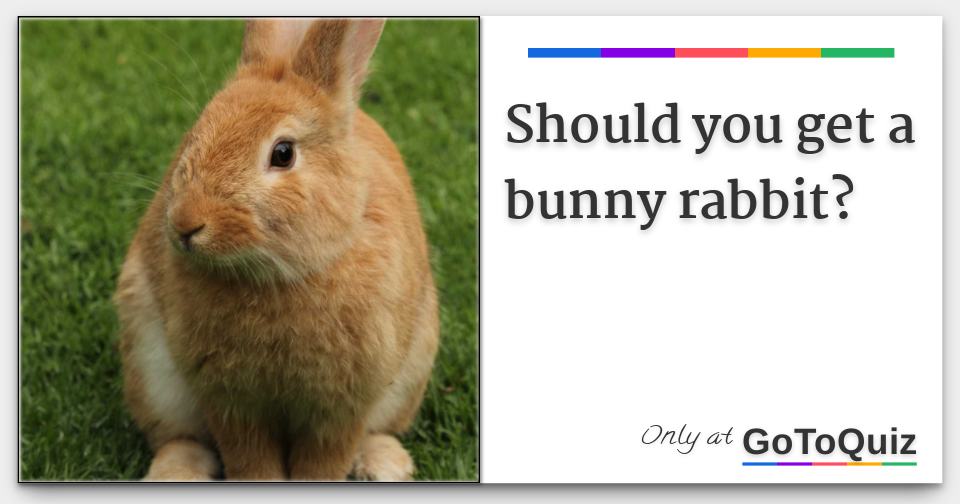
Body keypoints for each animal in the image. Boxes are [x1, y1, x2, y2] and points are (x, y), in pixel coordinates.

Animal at [114, 18, 439, 481]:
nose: (186, 224)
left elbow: (324, 462)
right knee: (179, 437)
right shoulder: (231, 403)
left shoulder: (342, 407)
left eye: (283, 153)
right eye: (194, 134)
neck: (278, 277)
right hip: (152, 373)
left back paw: (384, 465)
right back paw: (176, 473)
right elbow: (250, 460)